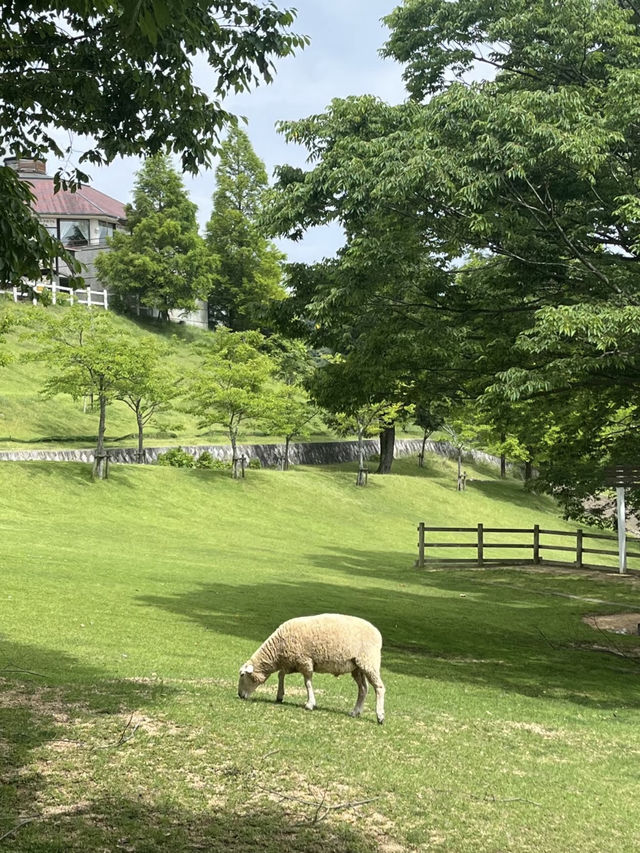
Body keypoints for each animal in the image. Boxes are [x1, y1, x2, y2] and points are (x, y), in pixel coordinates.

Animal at [236, 608, 382, 724]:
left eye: (242, 675)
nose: (240, 695)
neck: (277, 649)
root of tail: (377, 633)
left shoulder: (304, 661)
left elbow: (307, 683)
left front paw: (310, 704)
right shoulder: (293, 662)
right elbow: (281, 674)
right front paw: (279, 695)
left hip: (369, 661)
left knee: (379, 687)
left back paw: (380, 716)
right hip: (357, 667)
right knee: (363, 689)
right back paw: (355, 712)